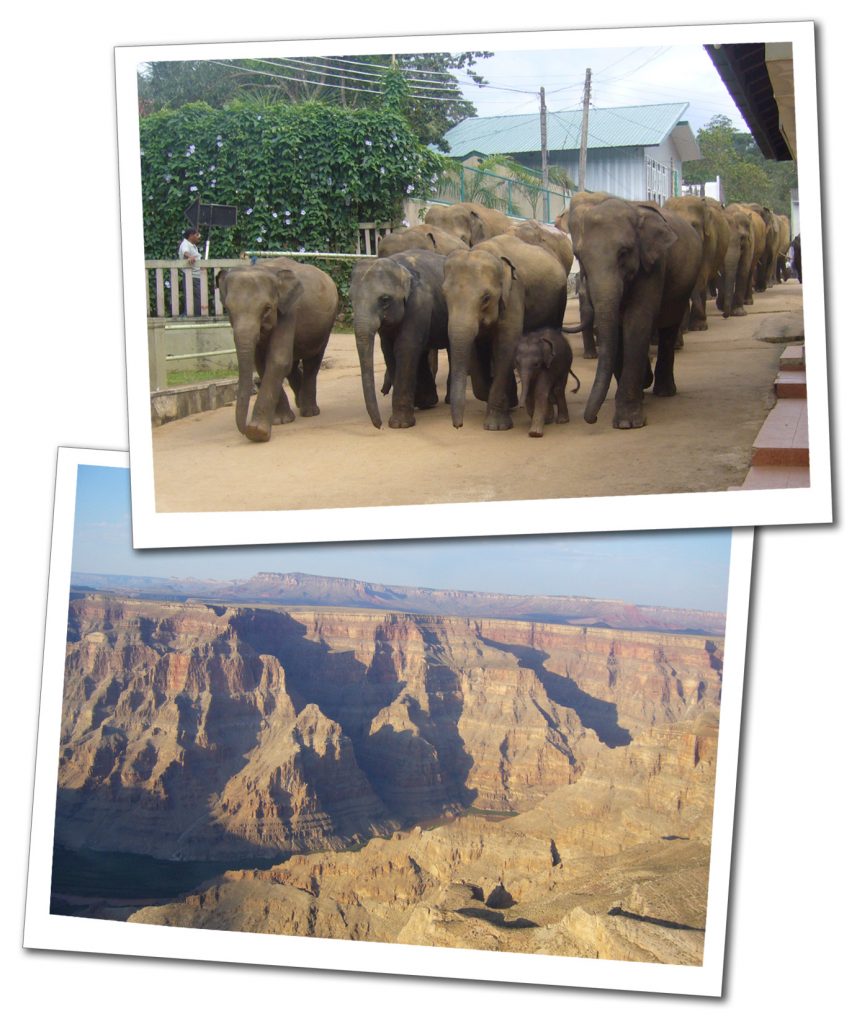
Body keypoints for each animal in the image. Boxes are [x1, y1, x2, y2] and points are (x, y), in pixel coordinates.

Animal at [216, 258, 338, 442]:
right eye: (228, 309)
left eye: (267, 308)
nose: (244, 429)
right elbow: (262, 364)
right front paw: (280, 421)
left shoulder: (289, 311)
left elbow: (278, 360)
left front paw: (257, 432)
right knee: (293, 367)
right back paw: (299, 402)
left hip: (324, 329)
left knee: (312, 362)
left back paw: (309, 411)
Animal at [351, 249, 450, 429]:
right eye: (350, 299)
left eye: (384, 299)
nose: (379, 426)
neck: (401, 267)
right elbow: (388, 350)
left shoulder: (419, 303)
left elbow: (405, 347)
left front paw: (399, 424)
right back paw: (426, 403)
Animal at [442, 233, 568, 430]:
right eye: (444, 294)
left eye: (486, 298)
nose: (458, 426)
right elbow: (476, 351)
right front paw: (503, 402)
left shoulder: (514, 295)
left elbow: (505, 346)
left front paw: (496, 426)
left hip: (559, 301)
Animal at [569, 197, 702, 429]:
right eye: (578, 256)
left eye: (624, 252)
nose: (592, 419)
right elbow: (617, 329)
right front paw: (638, 392)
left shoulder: (654, 264)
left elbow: (637, 321)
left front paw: (627, 423)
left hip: (681, 290)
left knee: (668, 329)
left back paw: (664, 391)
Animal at [664, 195, 729, 331]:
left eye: (694, 225)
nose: (724, 315)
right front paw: (683, 328)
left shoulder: (710, 240)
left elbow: (700, 275)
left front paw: (698, 327)